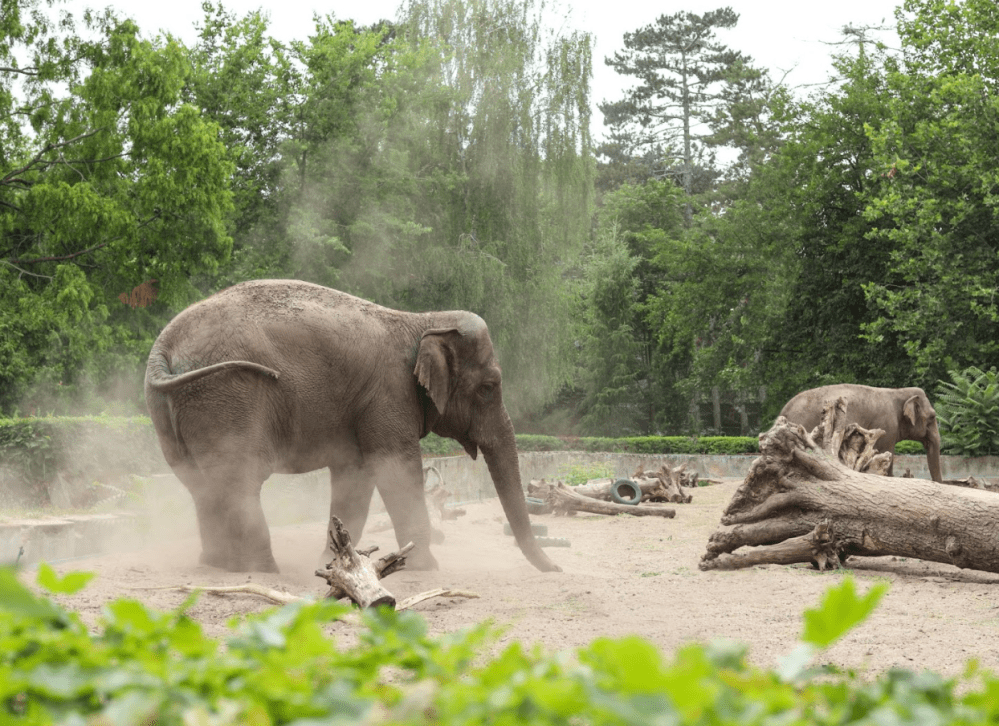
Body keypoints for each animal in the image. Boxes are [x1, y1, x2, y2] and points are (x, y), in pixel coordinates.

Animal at [146, 282, 564, 576]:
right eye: (490, 386)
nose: (558, 570)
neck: (422, 320)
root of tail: (163, 347)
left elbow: (356, 477)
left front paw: (332, 564)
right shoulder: (389, 395)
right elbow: (397, 468)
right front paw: (425, 567)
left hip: (174, 410)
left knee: (201, 485)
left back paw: (218, 565)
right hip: (228, 396)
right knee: (240, 482)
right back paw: (263, 570)